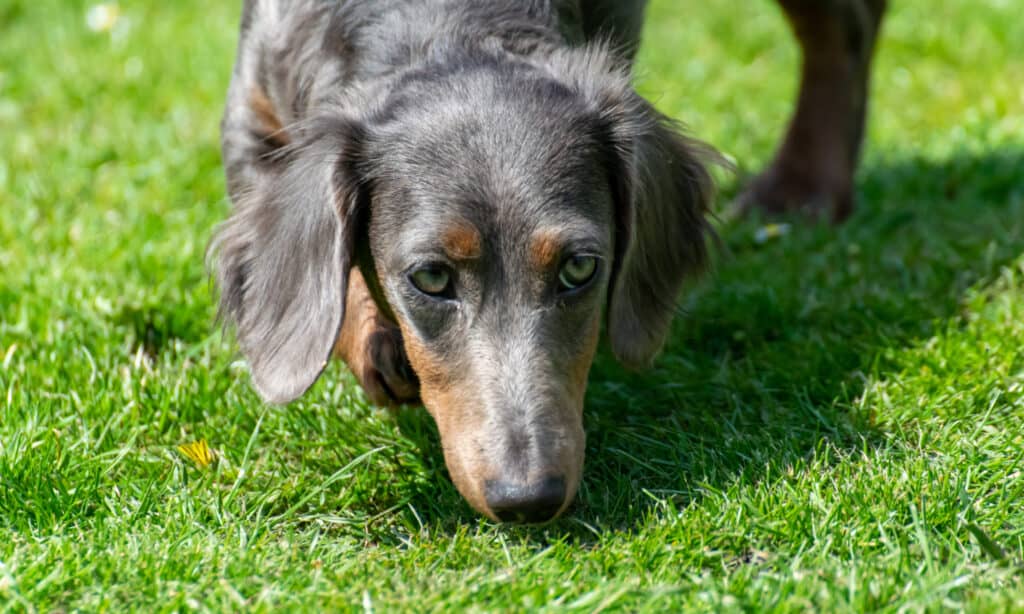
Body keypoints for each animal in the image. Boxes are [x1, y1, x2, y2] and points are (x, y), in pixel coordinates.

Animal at [211, 0, 884, 521]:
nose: (527, 498)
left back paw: (803, 186)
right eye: (430, 277)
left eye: (579, 268)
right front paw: (374, 339)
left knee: (845, 26)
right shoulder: (250, 108)